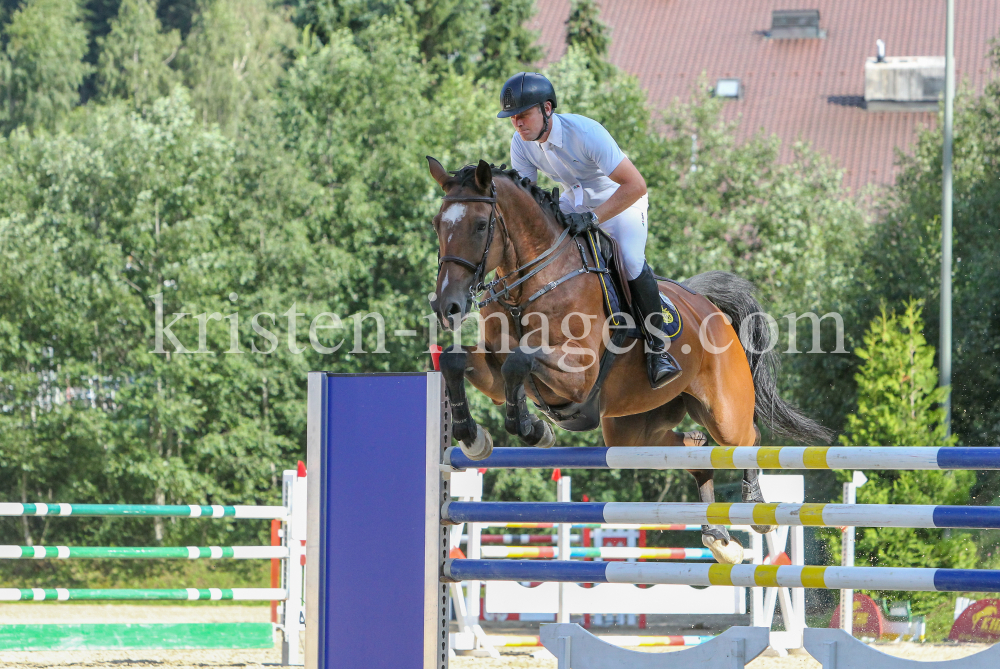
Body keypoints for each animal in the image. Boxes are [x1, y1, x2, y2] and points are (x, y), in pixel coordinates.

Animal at [426, 158, 832, 564]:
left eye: (481, 225)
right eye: (437, 224)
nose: (447, 306)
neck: (530, 286)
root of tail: (709, 308)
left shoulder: (578, 374)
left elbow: (519, 362)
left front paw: (531, 429)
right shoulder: (495, 375)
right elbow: (456, 362)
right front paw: (473, 437)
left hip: (724, 413)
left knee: (748, 439)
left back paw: (755, 507)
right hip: (632, 431)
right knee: (694, 449)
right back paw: (718, 537)